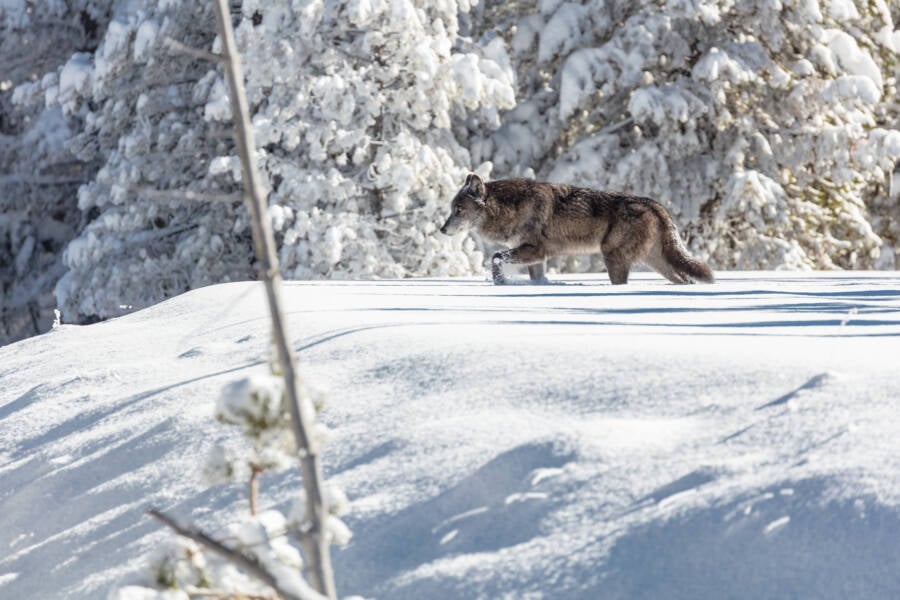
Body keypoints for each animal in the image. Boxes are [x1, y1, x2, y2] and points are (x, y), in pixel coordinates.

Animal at [439, 174, 714, 285]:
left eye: (458, 210)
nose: (442, 230)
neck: (510, 208)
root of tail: (655, 204)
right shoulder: (536, 258)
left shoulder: (534, 251)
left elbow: (496, 257)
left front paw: (500, 282)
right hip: (657, 263)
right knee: (686, 280)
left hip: (613, 258)